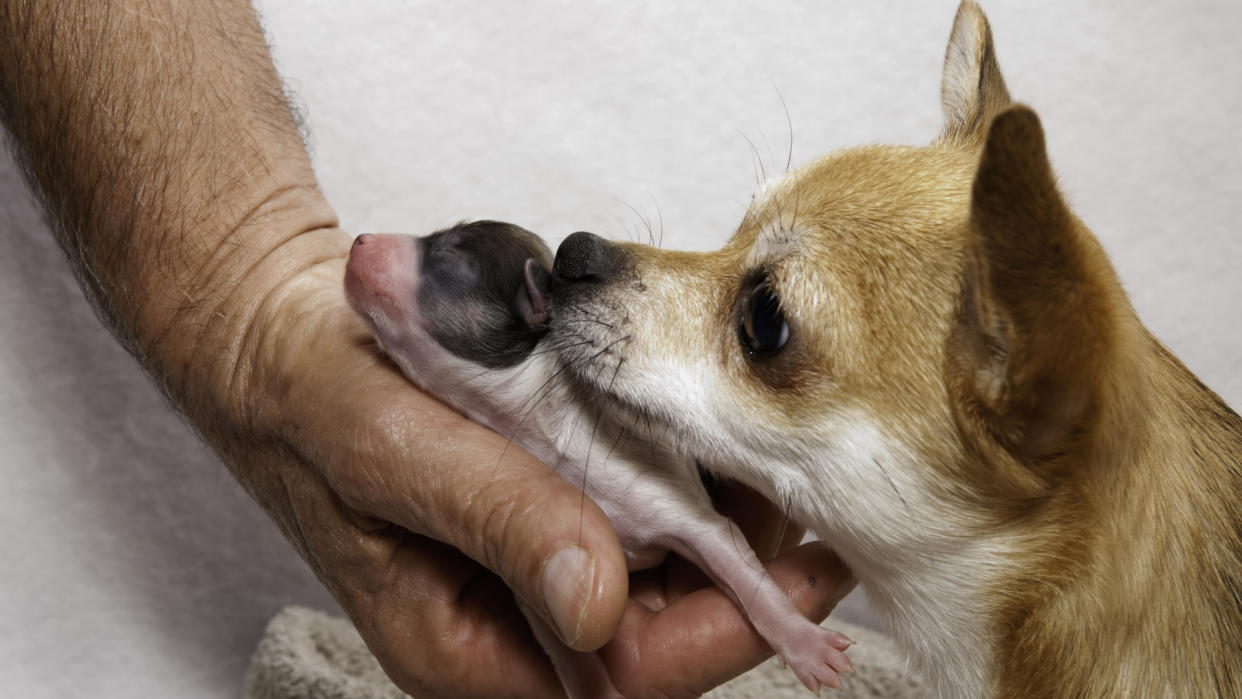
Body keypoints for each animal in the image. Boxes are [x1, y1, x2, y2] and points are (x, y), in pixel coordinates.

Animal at [345, 220, 859, 695]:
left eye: (450, 252)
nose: (359, 240)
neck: (542, 430)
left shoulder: (674, 501)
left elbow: (741, 569)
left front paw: (806, 645)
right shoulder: (537, 598)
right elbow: (565, 644)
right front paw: (589, 684)